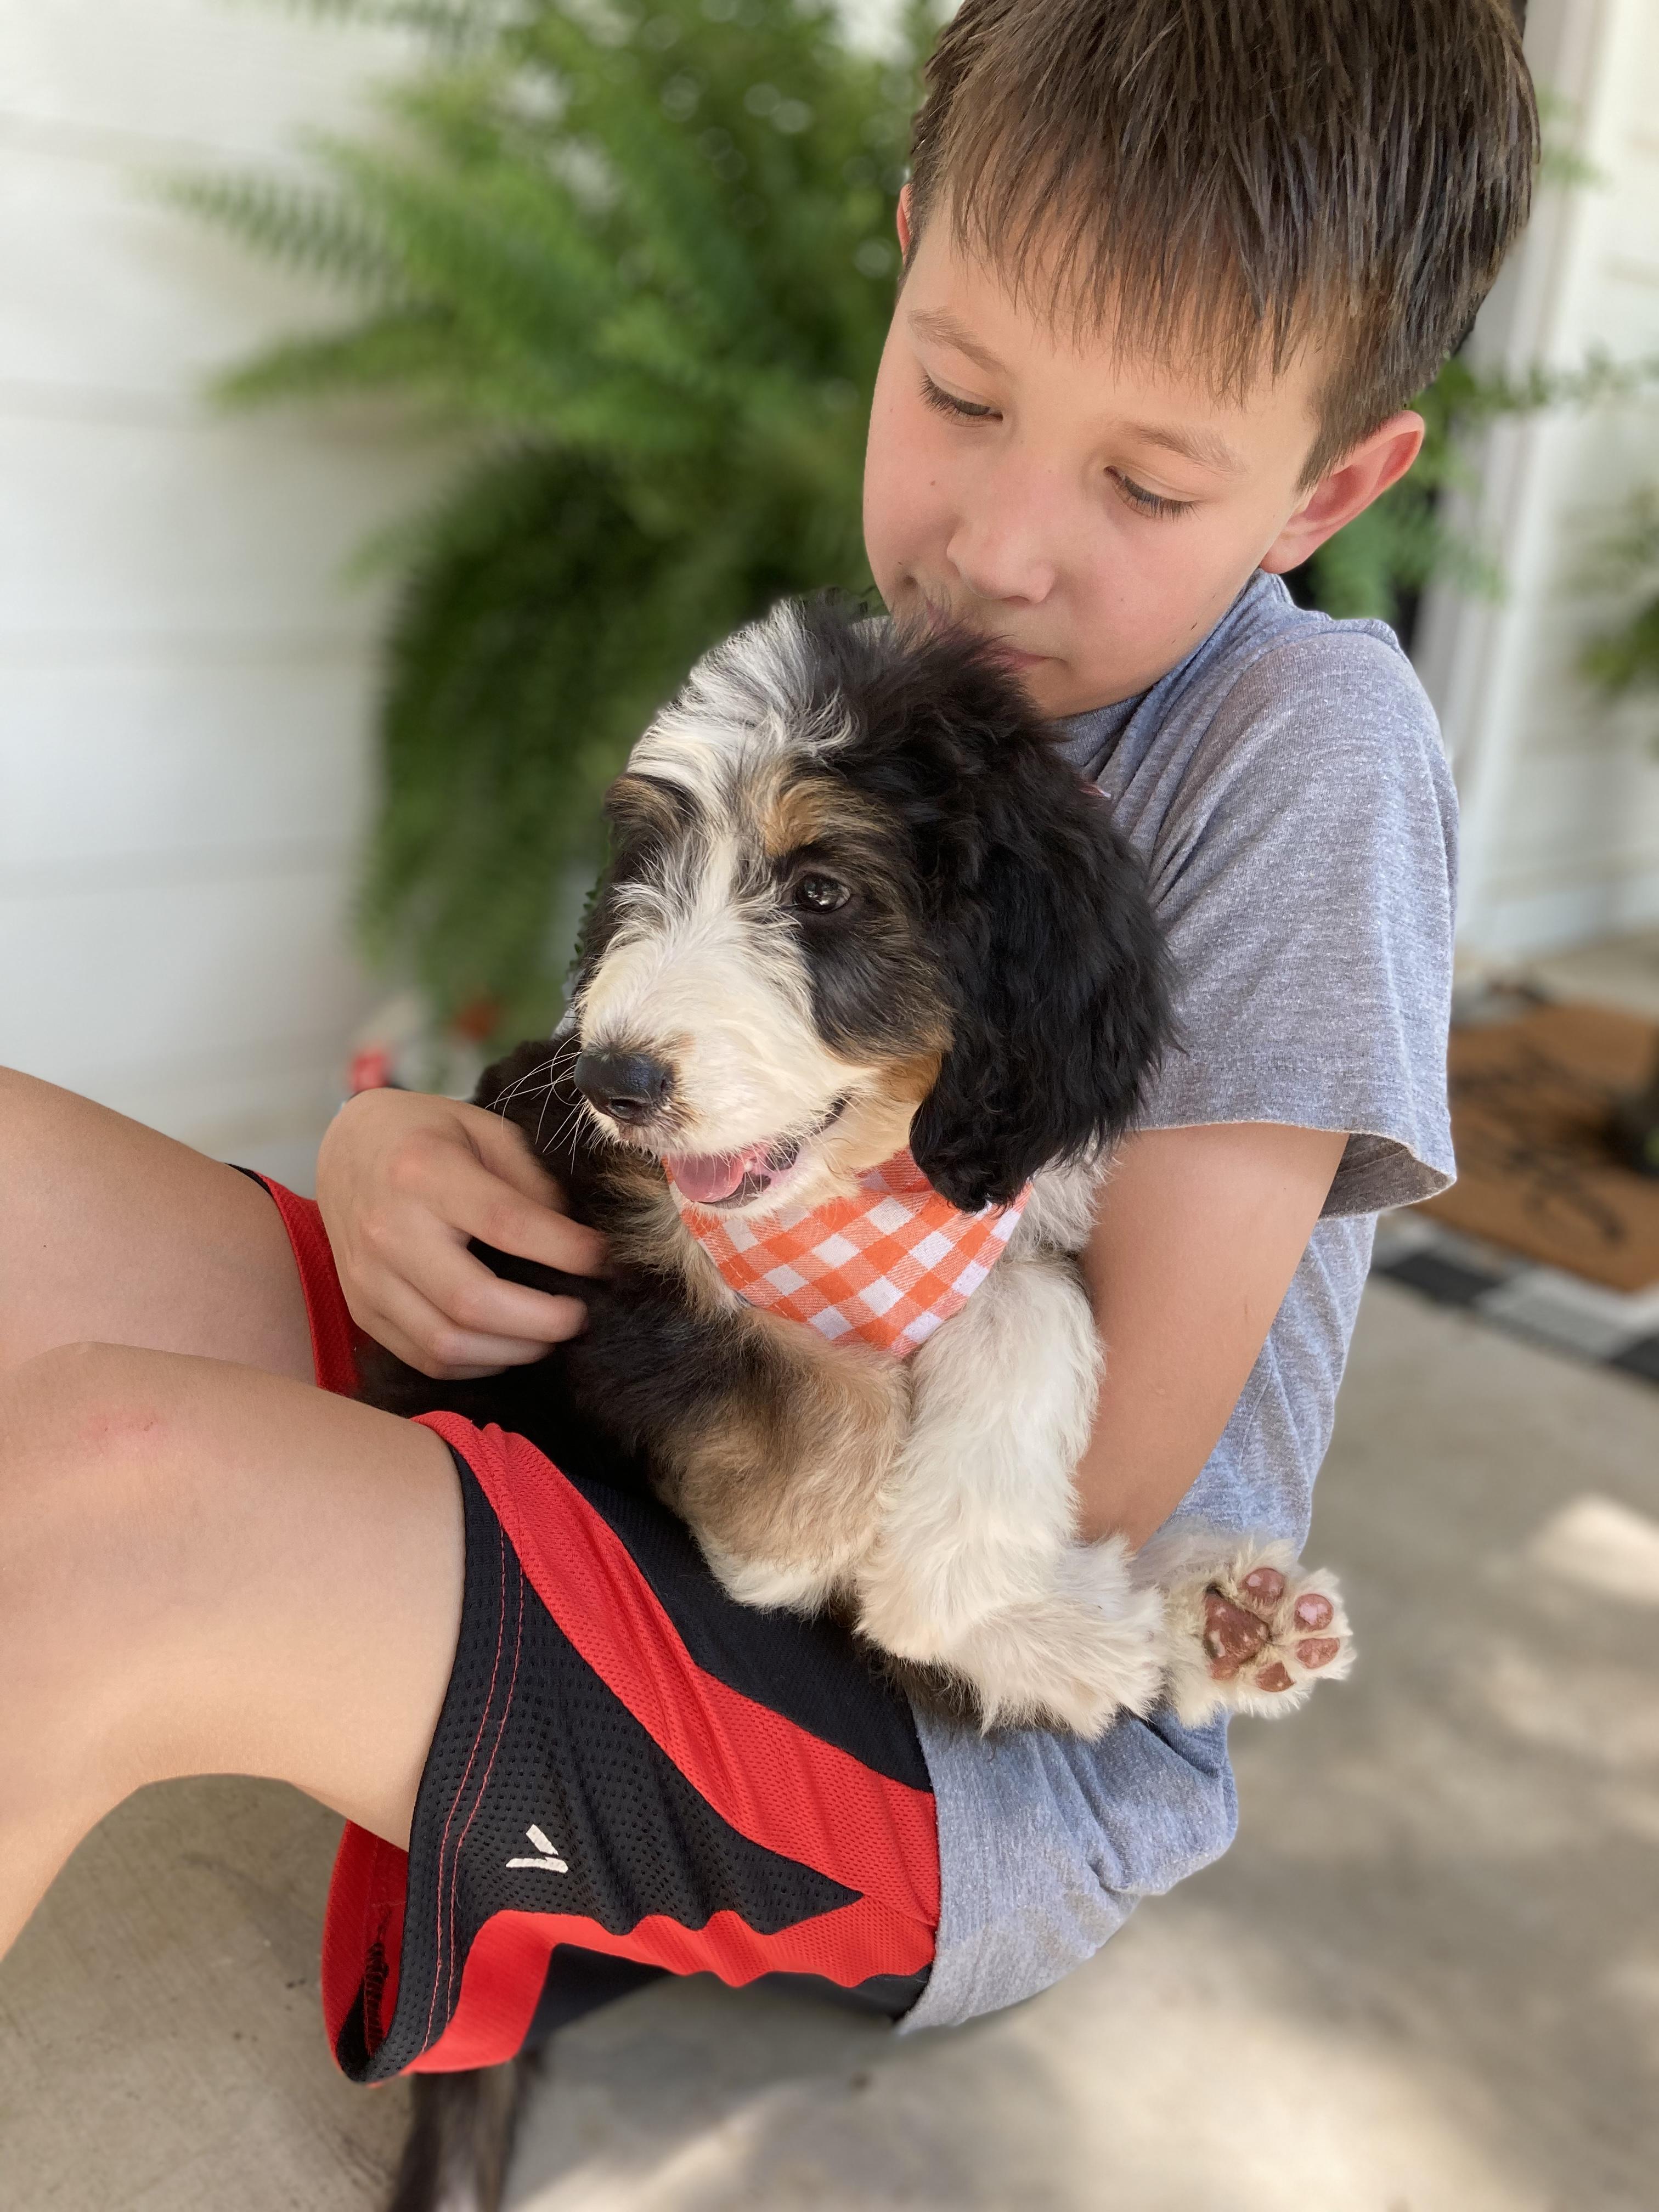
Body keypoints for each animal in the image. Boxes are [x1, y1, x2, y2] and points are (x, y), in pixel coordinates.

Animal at [362, 595, 1352, 2209]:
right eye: (645, 872)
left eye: (823, 889)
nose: (621, 1078)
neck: (851, 1190)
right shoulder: (580, 1263)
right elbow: (829, 1398)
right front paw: (851, 1562)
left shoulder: (1000, 1204)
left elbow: (1025, 1316)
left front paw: (974, 1588)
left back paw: (1223, 1627)